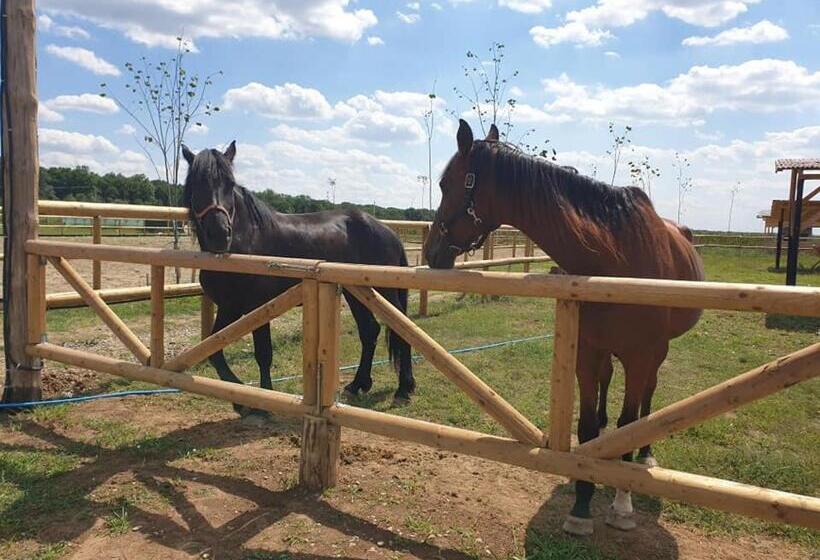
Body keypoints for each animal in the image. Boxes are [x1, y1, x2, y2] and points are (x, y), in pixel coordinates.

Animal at [181, 141, 415, 416]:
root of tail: (387, 231)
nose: (220, 233)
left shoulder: (257, 307)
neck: (243, 243)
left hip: (384, 293)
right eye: (197, 183)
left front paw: (263, 400)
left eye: (230, 183)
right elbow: (214, 351)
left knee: (403, 330)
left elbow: (263, 353)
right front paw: (240, 400)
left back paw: (404, 389)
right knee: (369, 331)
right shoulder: (230, 307)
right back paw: (358, 384)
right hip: (356, 293)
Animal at [424, 120, 705, 536]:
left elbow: (629, 422)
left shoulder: (640, 357)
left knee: (646, 403)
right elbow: (587, 425)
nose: (430, 251)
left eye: (446, 184)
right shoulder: (586, 351)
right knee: (607, 388)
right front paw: (582, 504)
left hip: (656, 355)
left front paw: (622, 505)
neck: (615, 259)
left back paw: (644, 456)